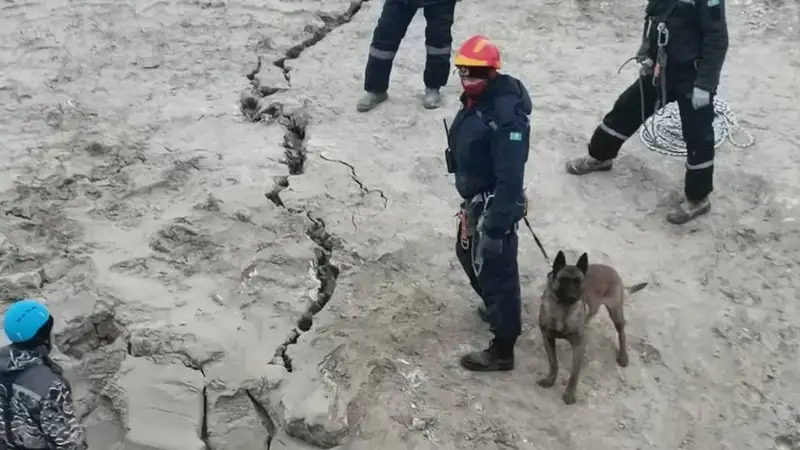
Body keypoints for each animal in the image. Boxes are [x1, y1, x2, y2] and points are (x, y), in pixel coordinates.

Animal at [536, 250, 644, 404]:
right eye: (563, 280)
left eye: (579, 281)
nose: (573, 296)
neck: (563, 310)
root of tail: (611, 270)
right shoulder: (548, 338)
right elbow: (553, 363)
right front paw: (550, 379)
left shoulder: (579, 346)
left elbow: (574, 373)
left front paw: (570, 393)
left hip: (615, 312)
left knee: (622, 333)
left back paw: (623, 356)